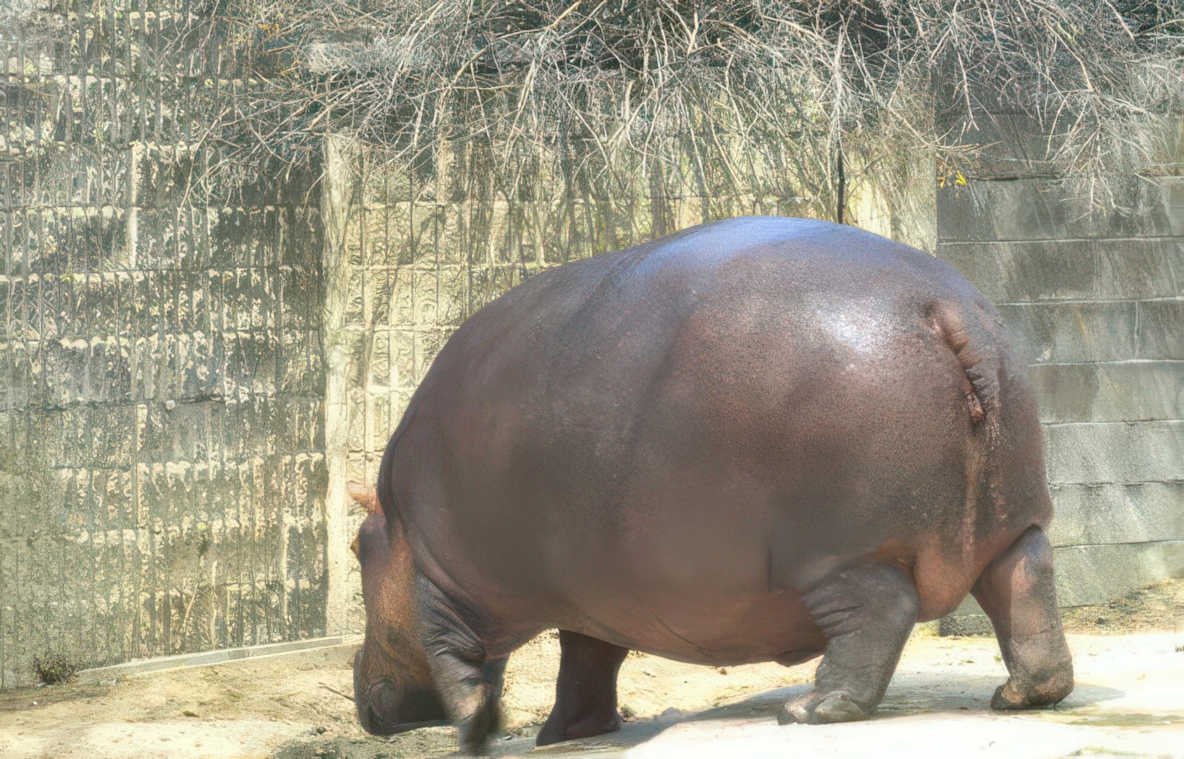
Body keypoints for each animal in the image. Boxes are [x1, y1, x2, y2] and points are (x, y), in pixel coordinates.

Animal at [351, 217, 1074, 753]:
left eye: (357, 548)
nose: (365, 701)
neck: (395, 522)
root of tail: (945, 309)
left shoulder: (443, 583)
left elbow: (459, 663)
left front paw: (481, 734)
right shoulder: (592, 597)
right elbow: (586, 660)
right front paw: (566, 734)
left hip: (840, 553)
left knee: (880, 613)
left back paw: (810, 709)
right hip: (1012, 519)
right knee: (1026, 586)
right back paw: (1022, 695)